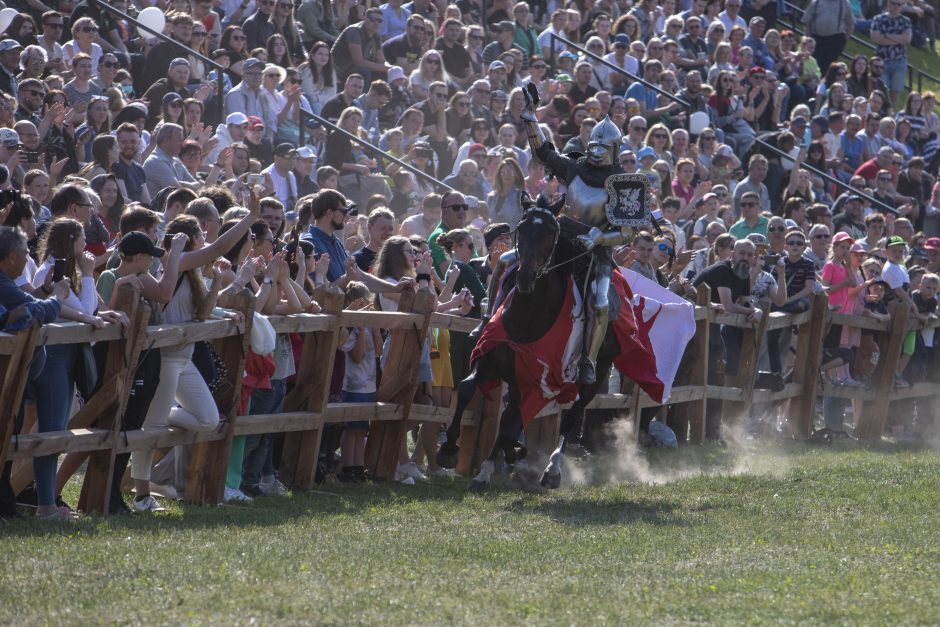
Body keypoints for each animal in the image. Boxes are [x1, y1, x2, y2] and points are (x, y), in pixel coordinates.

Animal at [436, 194, 624, 494]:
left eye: (549, 232)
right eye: (522, 229)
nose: (524, 277)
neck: (528, 318)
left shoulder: (540, 380)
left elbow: (513, 425)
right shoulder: (490, 360)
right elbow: (466, 389)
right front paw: (449, 449)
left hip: (599, 370)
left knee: (571, 417)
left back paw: (551, 470)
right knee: (510, 416)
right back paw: (487, 470)